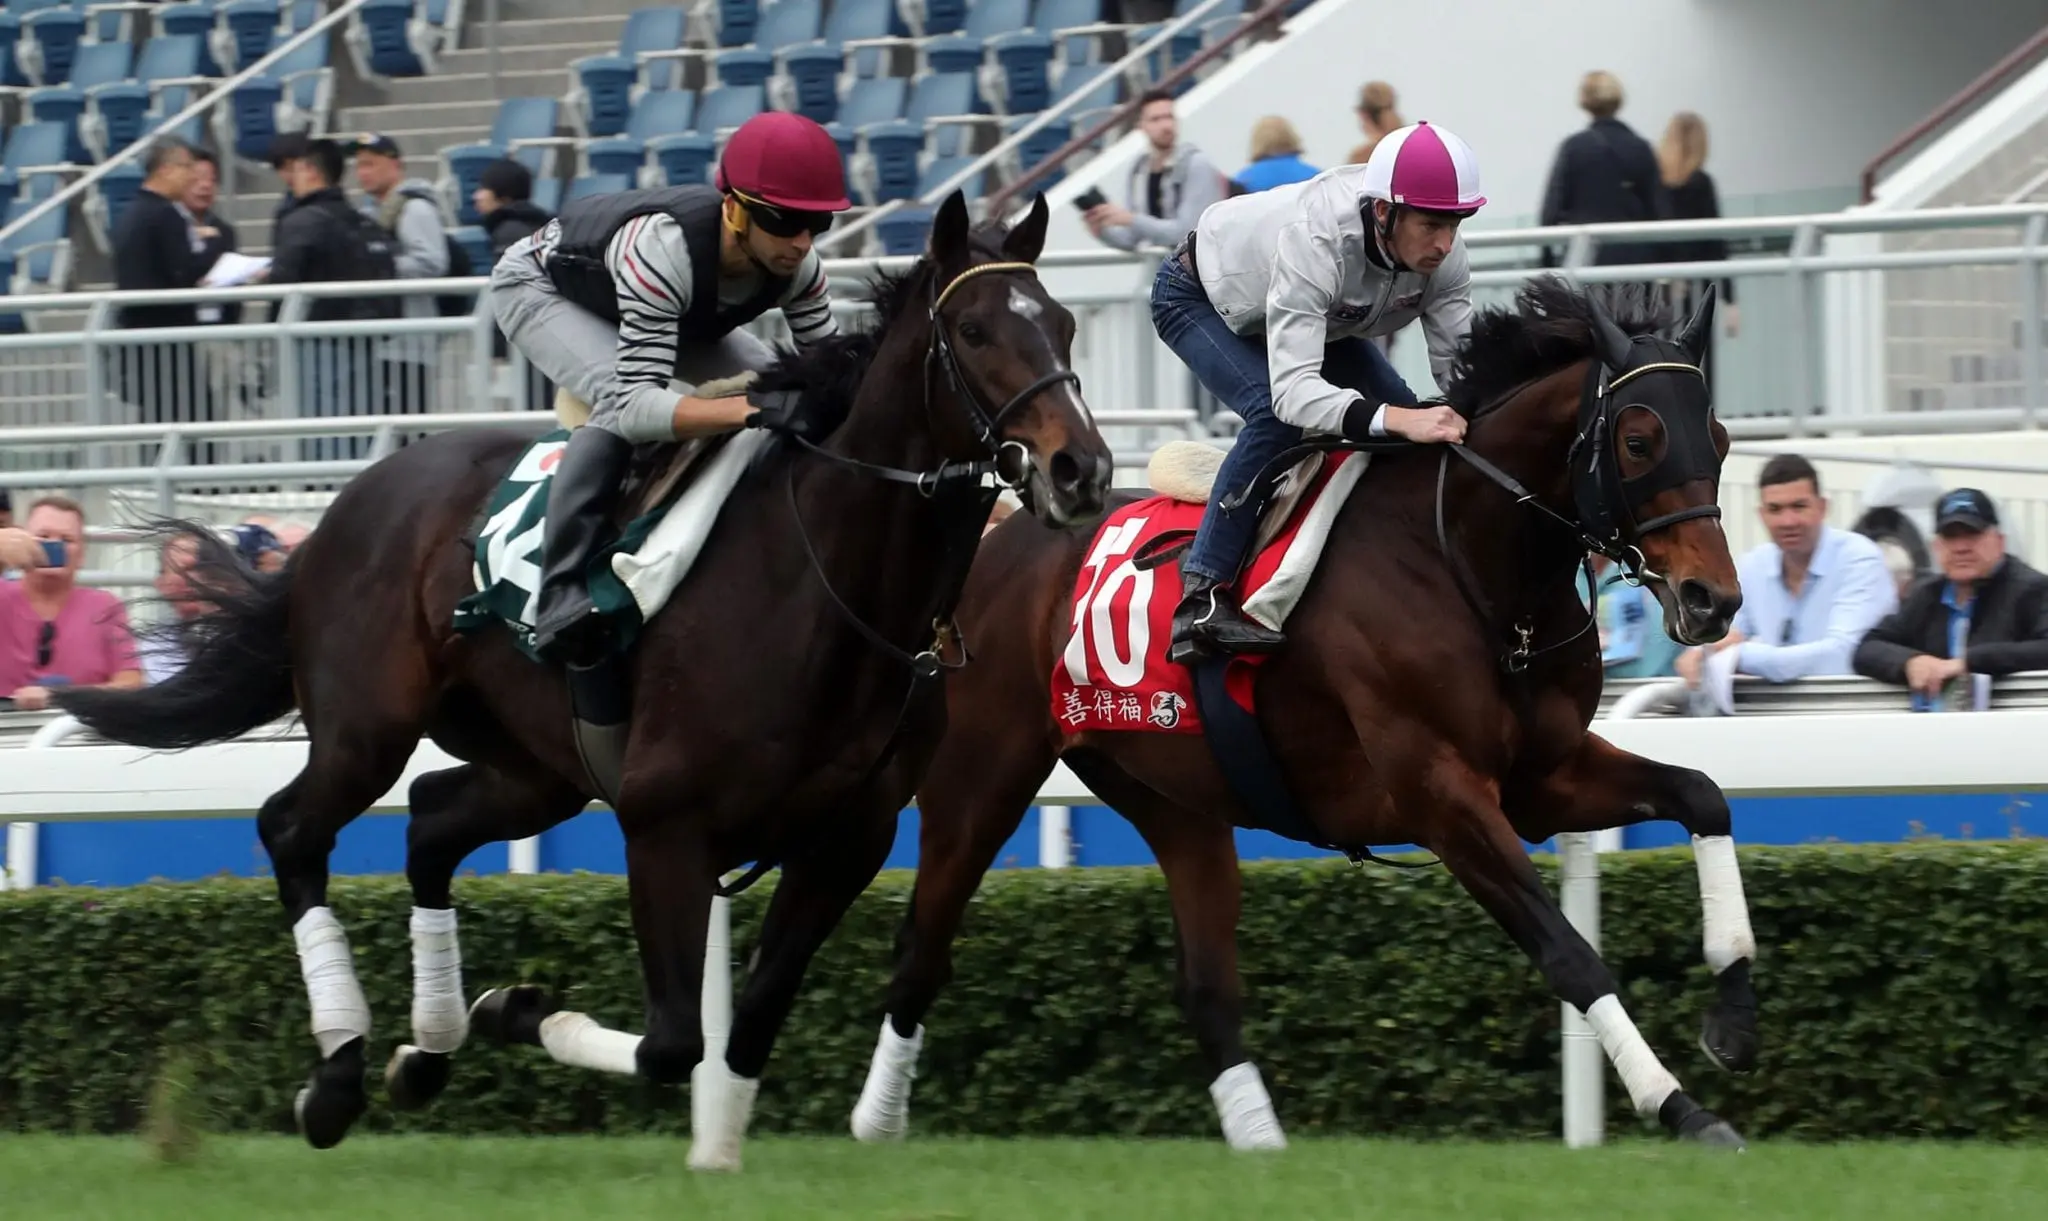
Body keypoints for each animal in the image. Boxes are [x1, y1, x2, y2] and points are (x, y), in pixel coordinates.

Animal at [56, 186, 1114, 1171]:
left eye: (1064, 324)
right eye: (974, 331)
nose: (1082, 470)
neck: (830, 588)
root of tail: (342, 508)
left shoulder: (847, 838)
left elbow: (748, 1027)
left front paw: (705, 1145)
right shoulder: (666, 821)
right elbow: (676, 1041)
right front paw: (522, 1014)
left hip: (537, 768)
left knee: (432, 821)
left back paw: (426, 1048)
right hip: (367, 728)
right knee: (293, 828)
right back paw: (341, 1071)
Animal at [843, 278, 1761, 1155]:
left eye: (1718, 439)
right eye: (1639, 439)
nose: (1712, 600)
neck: (1475, 568)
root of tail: (991, 545)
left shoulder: (1546, 777)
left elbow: (1702, 794)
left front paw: (1731, 1009)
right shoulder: (1441, 794)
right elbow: (1570, 954)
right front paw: (1680, 1106)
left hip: (1172, 794)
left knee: (1207, 986)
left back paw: (1263, 1143)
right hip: (980, 779)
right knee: (921, 947)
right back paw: (873, 1125)